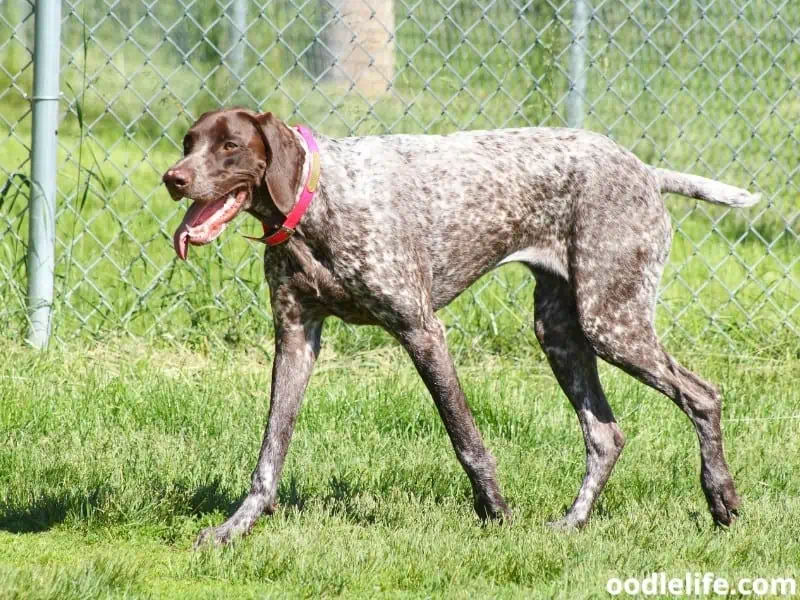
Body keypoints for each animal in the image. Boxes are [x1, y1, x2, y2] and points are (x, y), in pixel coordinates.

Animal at [161, 105, 756, 548]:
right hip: (562, 335)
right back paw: (572, 523)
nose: (174, 178)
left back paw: (721, 498)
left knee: (703, 396)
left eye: (230, 146)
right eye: (189, 141)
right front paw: (235, 527)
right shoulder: (295, 339)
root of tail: (645, 170)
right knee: (606, 436)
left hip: (611, 323)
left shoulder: (422, 331)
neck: (320, 199)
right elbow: (270, 453)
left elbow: (465, 436)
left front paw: (495, 512)